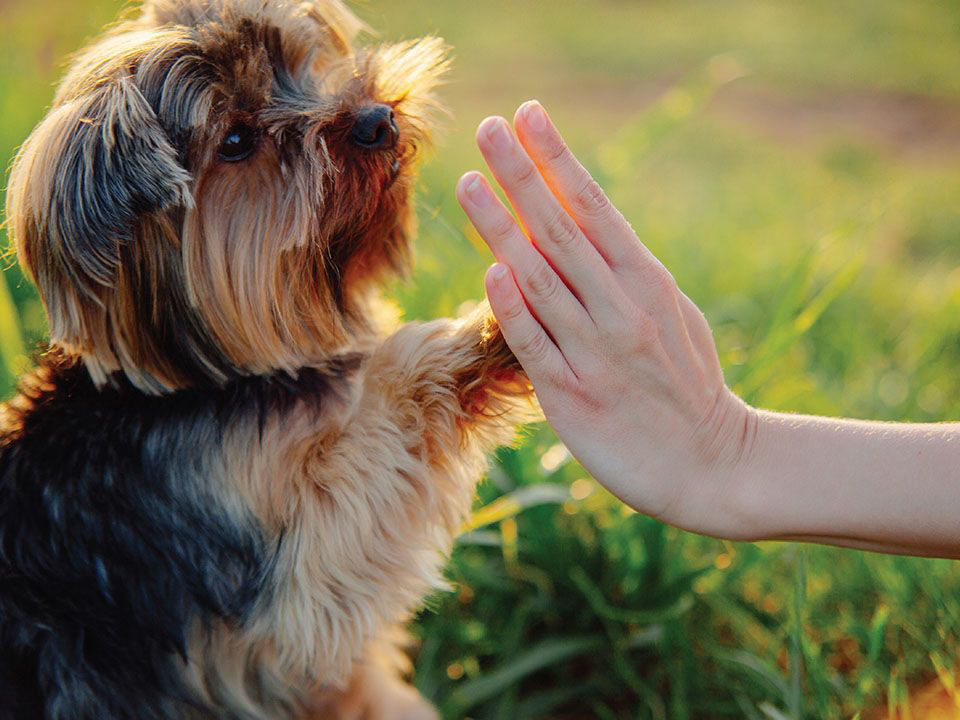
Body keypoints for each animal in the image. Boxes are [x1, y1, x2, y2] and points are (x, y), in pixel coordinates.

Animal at [0, 2, 536, 716]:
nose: (377, 119)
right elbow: (364, 467)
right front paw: (490, 330)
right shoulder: (283, 591)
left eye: (301, 67)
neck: (212, 379)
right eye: (235, 141)